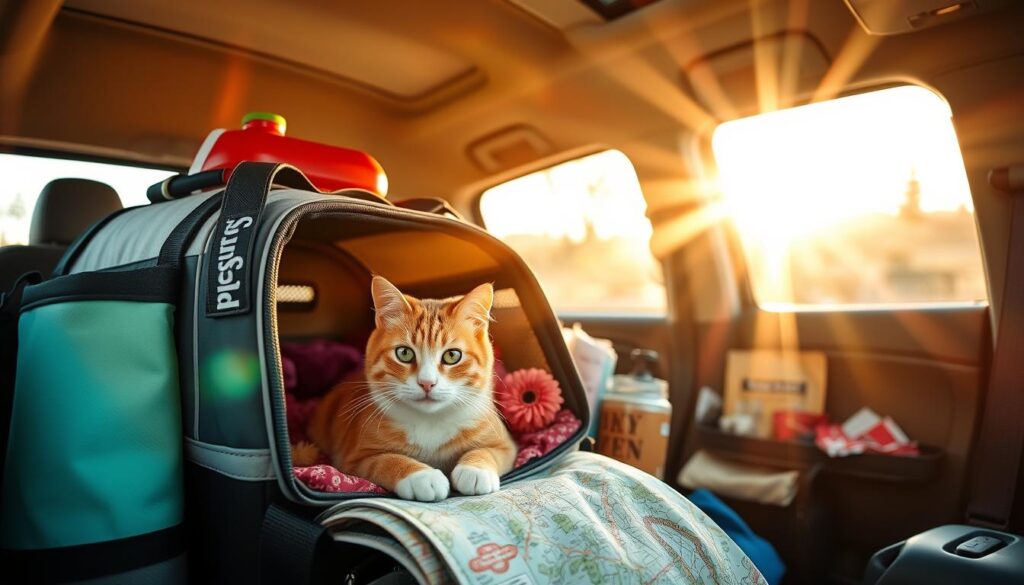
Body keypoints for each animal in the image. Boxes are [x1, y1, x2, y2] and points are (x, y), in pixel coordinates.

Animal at [296, 276, 520, 502]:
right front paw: (422, 476)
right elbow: (386, 460)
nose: (427, 383)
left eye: (452, 355)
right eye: (404, 353)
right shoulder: (353, 457)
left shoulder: (505, 444)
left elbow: (489, 451)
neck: (430, 420)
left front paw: (475, 470)